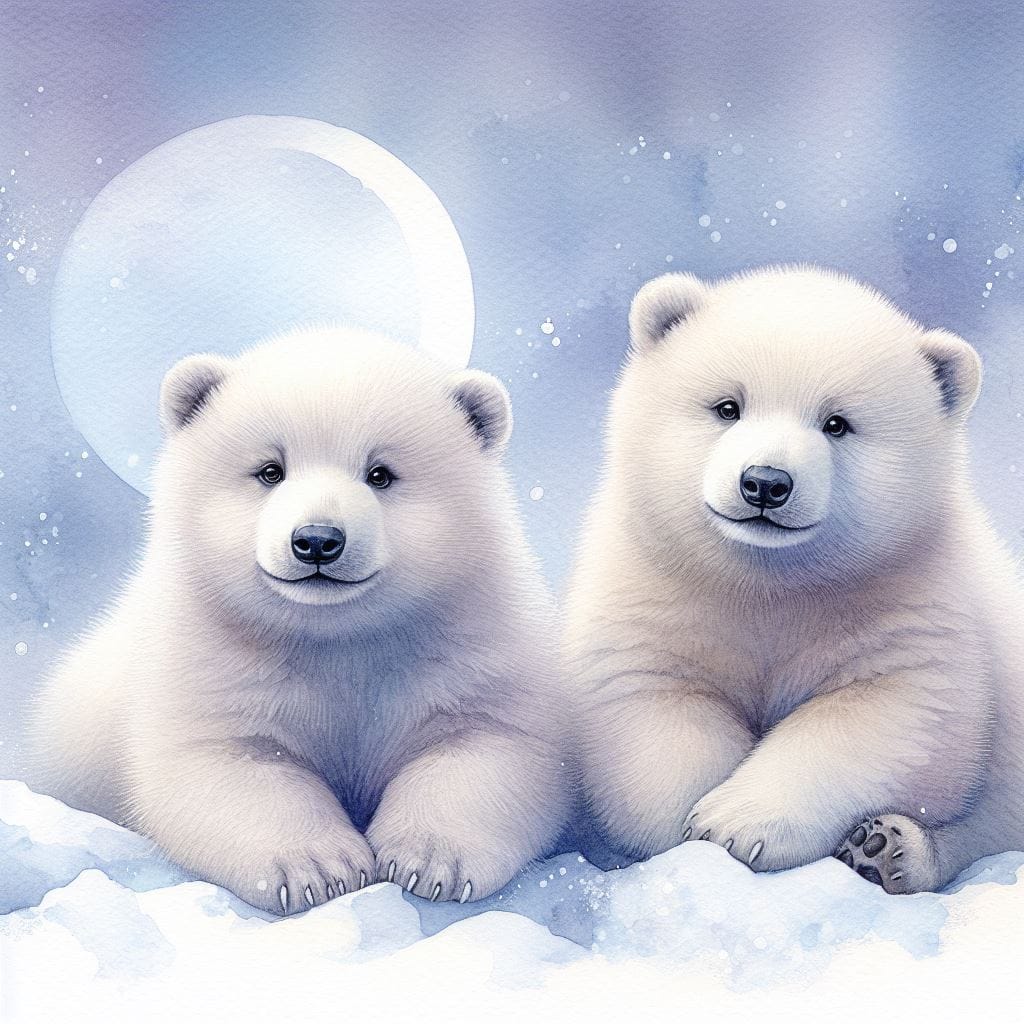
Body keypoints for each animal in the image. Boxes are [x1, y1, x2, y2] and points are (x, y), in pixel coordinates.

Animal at [29, 326, 569, 914]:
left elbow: (488, 744)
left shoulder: (472, 641)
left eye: (380, 474)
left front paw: (426, 862)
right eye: (271, 471)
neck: (337, 636)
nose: (317, 540)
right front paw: (322, 868)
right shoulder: (209, 658)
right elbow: (227, 762)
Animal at [564, 266, 1024, 894]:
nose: (765, 482)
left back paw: (886, 848)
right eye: (727, 406)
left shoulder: (908, 600)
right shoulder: (654, 590)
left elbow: (891, 715)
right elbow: (652, 704)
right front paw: (687, 827)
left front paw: (734, 824)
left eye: (837, 423)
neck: (771, 581)